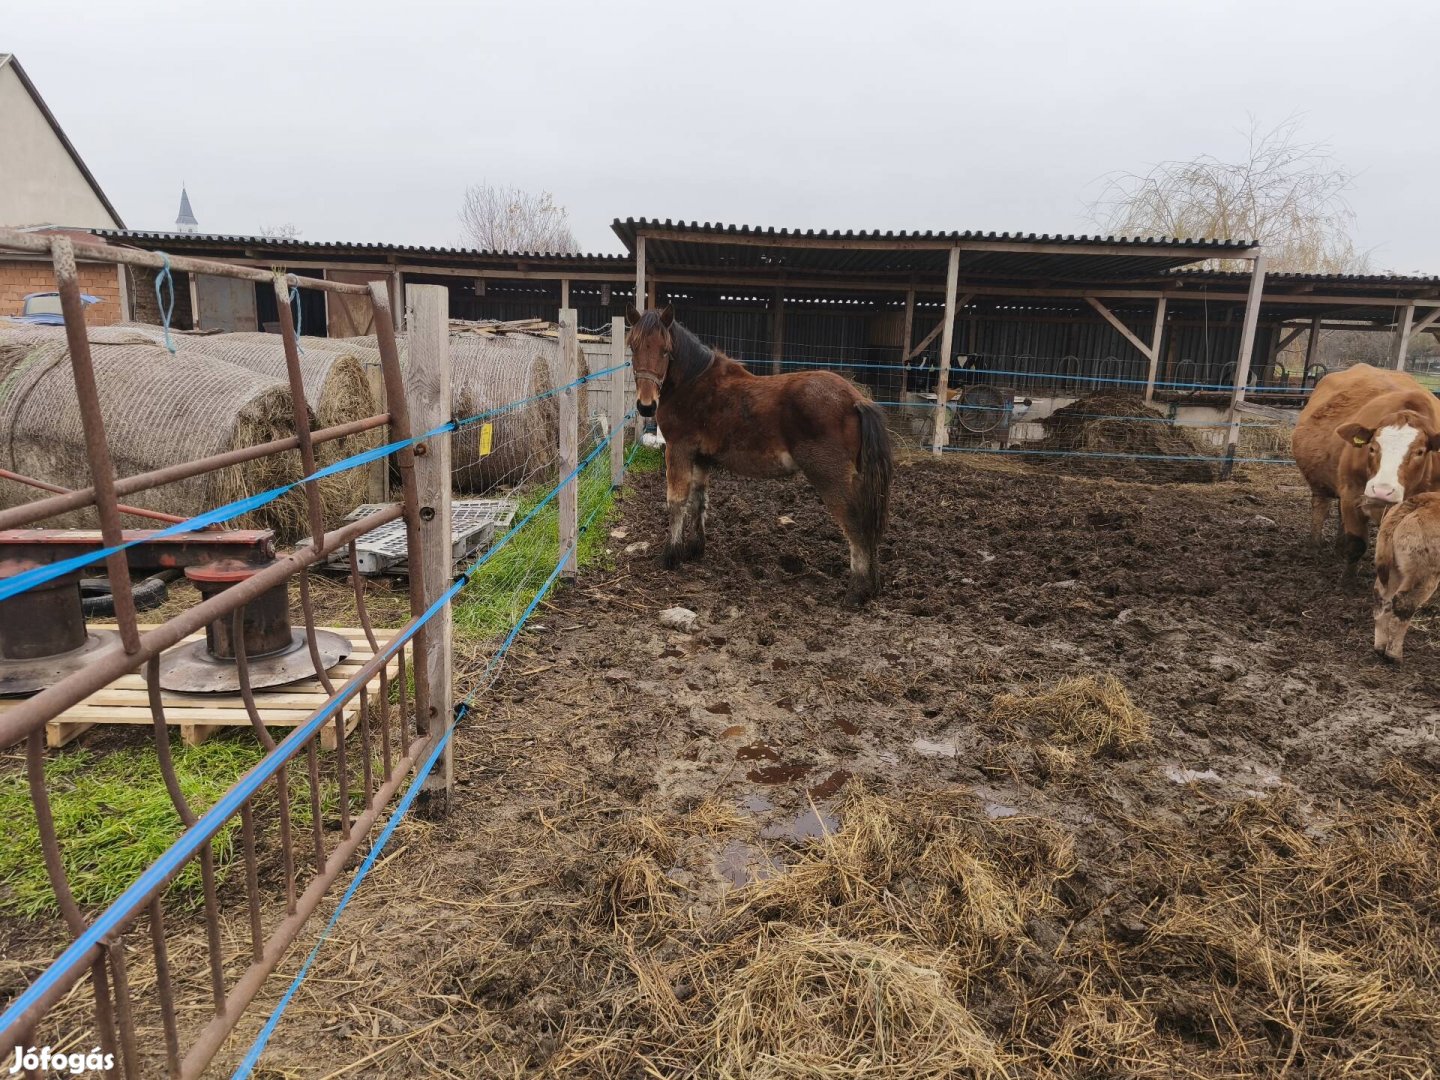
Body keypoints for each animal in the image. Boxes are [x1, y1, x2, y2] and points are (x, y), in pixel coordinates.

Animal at [627, 308, 892, 604]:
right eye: (633, 347)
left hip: (831, 476)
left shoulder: (679, 450)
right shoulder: (701, 458)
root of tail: (857, 399)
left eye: (665, 350)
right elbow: (698, 502)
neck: (693, 383)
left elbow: (676, 502)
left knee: (855, 524)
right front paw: (695, 549)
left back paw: (857, 591)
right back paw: (873, 585)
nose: (645, 406)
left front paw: (670, 556)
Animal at [1290, 364, 1440, 567]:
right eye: (1372, 447)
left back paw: (1339, 548)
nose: (1382, 491)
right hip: (1321, 483)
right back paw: (1314, 548)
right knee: (1321, 506)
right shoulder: (1353, 494)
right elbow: (1357, 545)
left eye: (1420, 451)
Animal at [1370, 495, 1440, 665]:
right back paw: (1394, 655)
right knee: (1403, 603)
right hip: (1424, 575)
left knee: (1382, 598)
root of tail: (1420, 500)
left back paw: (1380, 647)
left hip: (1394, 570)